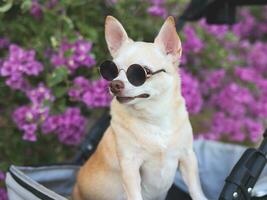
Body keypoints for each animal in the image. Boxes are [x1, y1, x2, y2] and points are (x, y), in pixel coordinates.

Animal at [72, 16, 208, 200]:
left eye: (142, 72)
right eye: (111, 71)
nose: (114, 84)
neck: (154, 119)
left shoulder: (187, 156)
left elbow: (195, 188)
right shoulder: (130, 166)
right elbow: (135, 194)